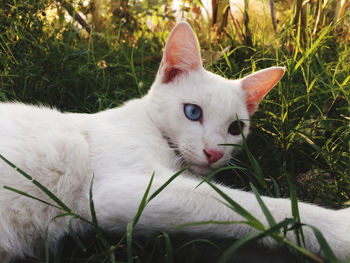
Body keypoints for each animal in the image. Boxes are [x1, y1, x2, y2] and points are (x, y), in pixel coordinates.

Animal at [0, 21, 350, 262]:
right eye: (192, 112)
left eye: (236, 128)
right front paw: (338, 229)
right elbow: (245, 205)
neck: (153, 128)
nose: (213, 153)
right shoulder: (119, 192)